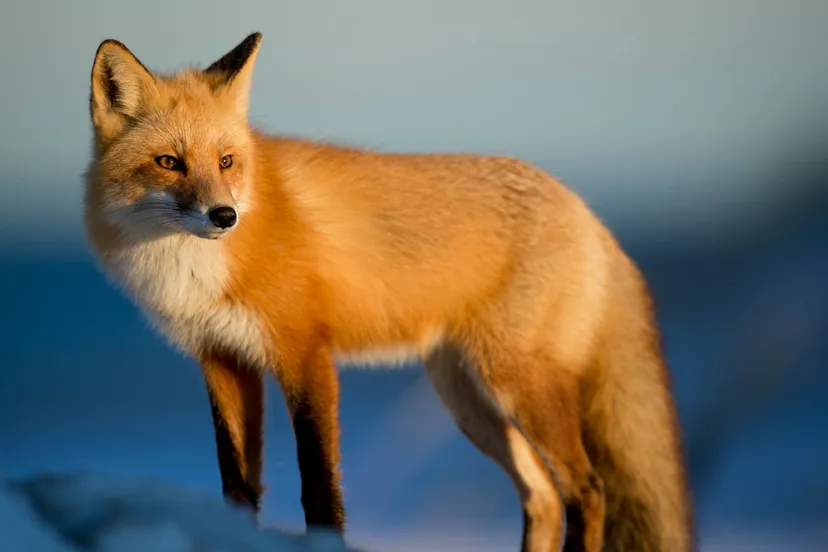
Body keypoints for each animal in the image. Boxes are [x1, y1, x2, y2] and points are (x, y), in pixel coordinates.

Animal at [83, 32, 693, 552]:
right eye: (169, 162)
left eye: (226, 162)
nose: (224, 216)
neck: (195, 269)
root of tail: (586, 211)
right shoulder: (222, 360)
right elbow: (237, 487)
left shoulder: (305, 354)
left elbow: (319, 487)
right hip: (468, 400)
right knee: (542, 496)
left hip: (518, 385)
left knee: (587, 490)